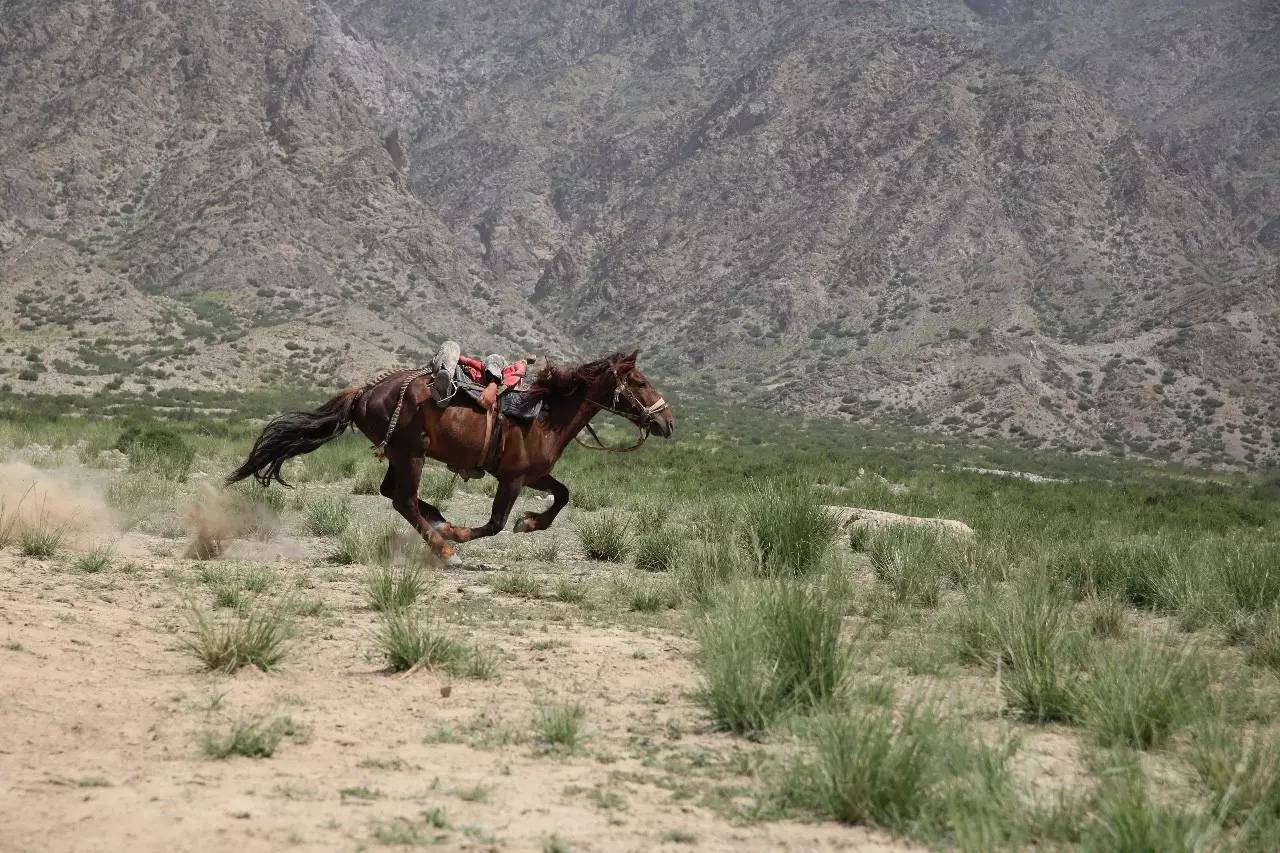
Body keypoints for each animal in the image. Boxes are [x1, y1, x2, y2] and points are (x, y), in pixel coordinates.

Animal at [226, 348, 675, 560]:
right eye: (640, 381)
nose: (667, 421)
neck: (545, 415)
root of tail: (365, 393)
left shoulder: (533, 474)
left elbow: (563, 495)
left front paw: (530, 523)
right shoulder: (512, 478)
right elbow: (495, 523)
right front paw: (462, 534)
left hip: (401, 455)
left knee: (394, 495)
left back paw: (438, 522)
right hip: (411, 454)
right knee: (403, 500)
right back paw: (443, 546)